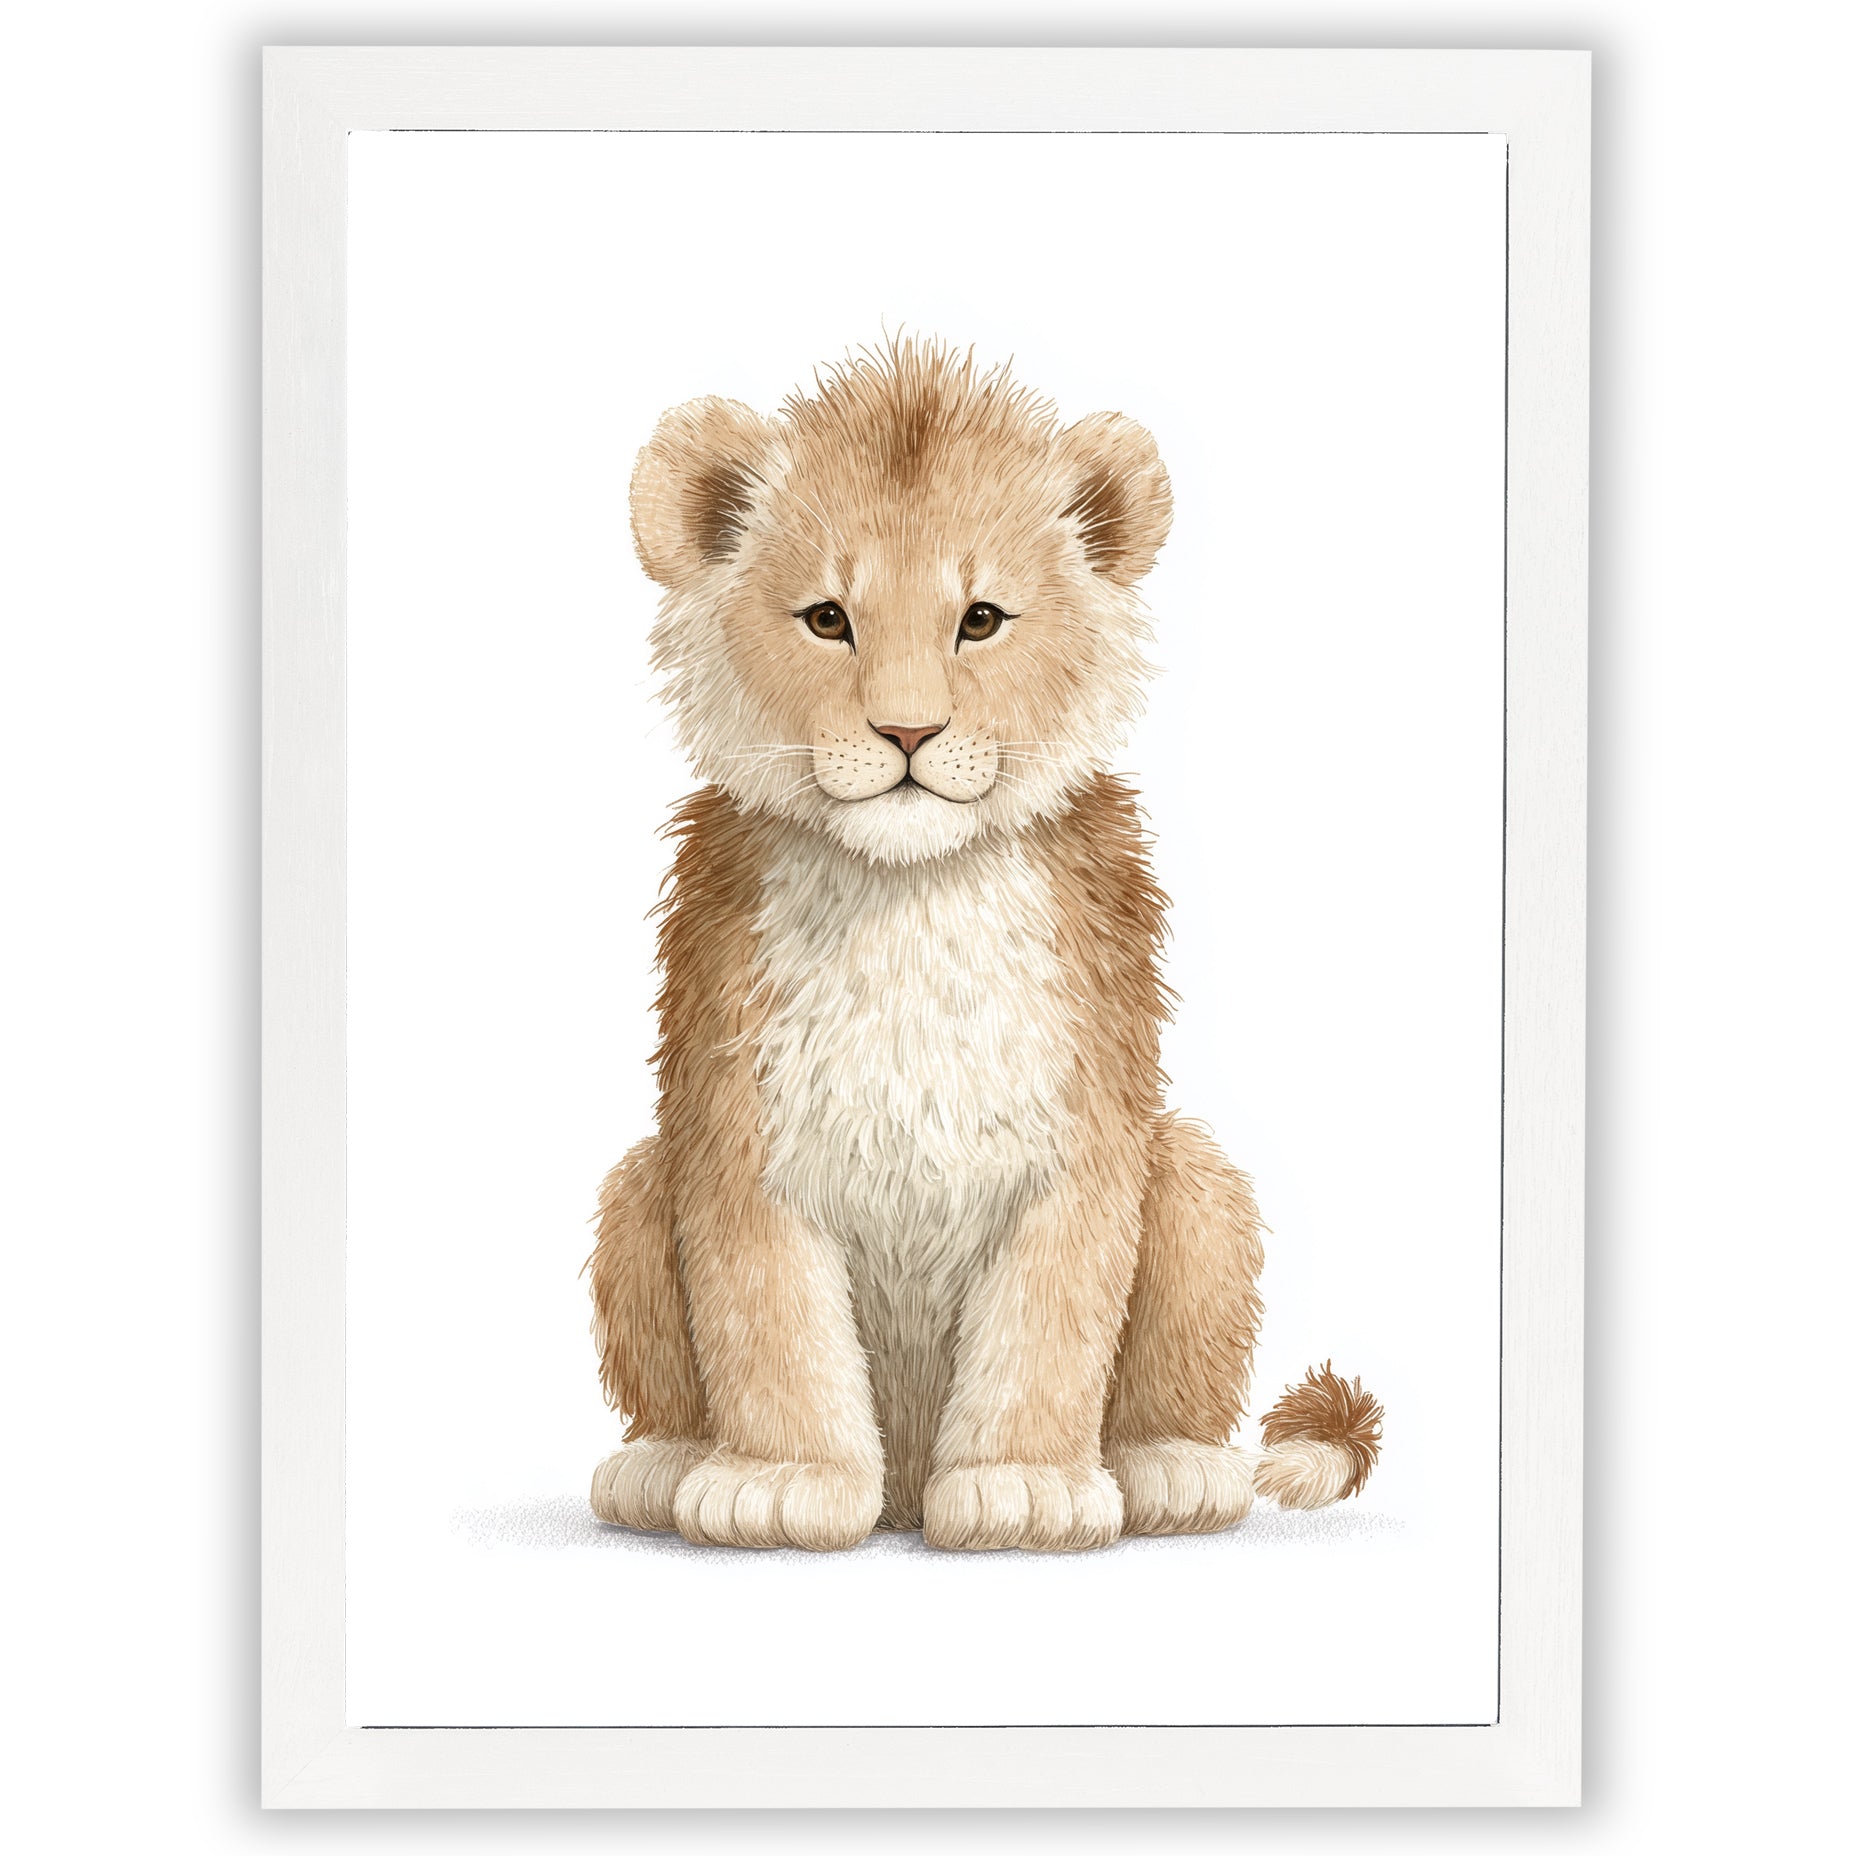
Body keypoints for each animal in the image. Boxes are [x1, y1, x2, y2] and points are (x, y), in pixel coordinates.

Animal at [587, 339, 1381, 1552]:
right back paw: (663, 1465)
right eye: (828, 618)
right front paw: (781, 1483)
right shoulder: (735, 1137)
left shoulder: (1082, 1139)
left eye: (981, 619)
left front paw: (1024, 1489)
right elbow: (768, 1325)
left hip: (1196, 1177)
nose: (908, 732)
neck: (909, 897)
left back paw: (1170, 1469)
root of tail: (902, 1494)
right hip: (639, 1181)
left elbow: (1048, 1330)